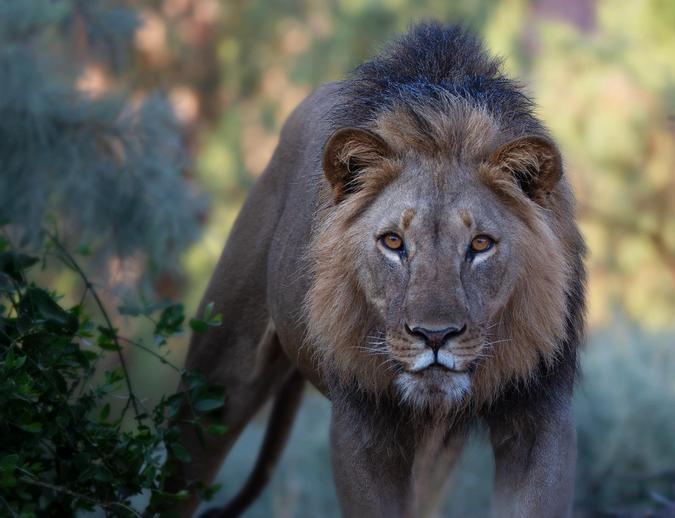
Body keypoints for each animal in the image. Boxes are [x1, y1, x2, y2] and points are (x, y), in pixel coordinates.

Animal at [168, 23, 588, 518]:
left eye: (480, 244)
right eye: (393, 242)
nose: (434, 336)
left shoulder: (539, 414)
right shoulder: (364, 426)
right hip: (219, 374)